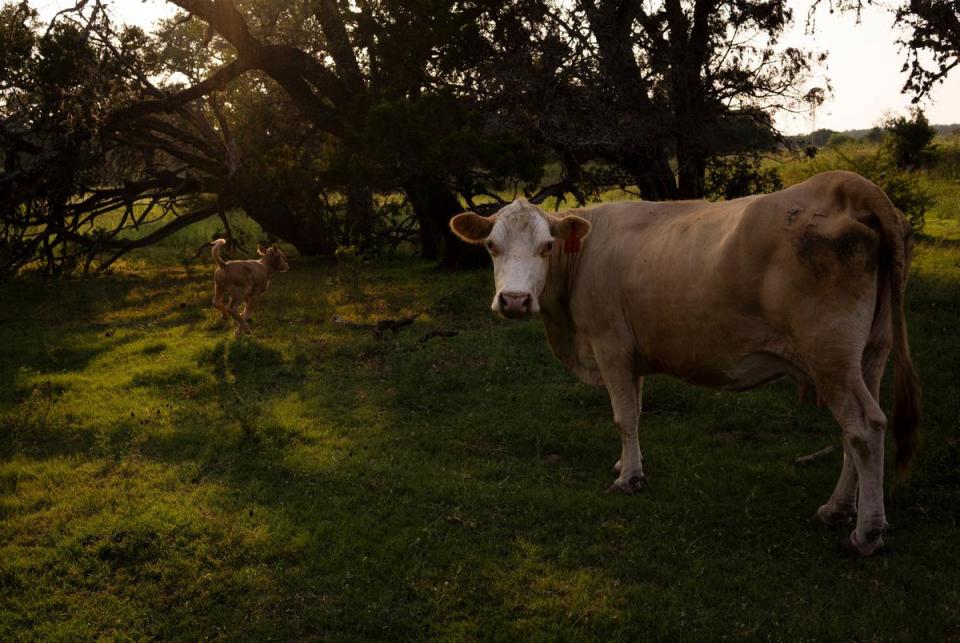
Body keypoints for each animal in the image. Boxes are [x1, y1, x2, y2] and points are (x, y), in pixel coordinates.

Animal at [452, 172, 924, 560]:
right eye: (491, 247)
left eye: (547, 247)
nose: (514, 301)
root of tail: (849, 185)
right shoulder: (632, 354)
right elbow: (636, 410)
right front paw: (626, 464)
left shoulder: (610, 344)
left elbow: (623, 416)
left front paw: (629, 479)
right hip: (868, 354)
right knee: (856, 433)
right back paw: (837, 508)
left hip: (830, 354)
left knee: (864, 428)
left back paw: (866, 533)